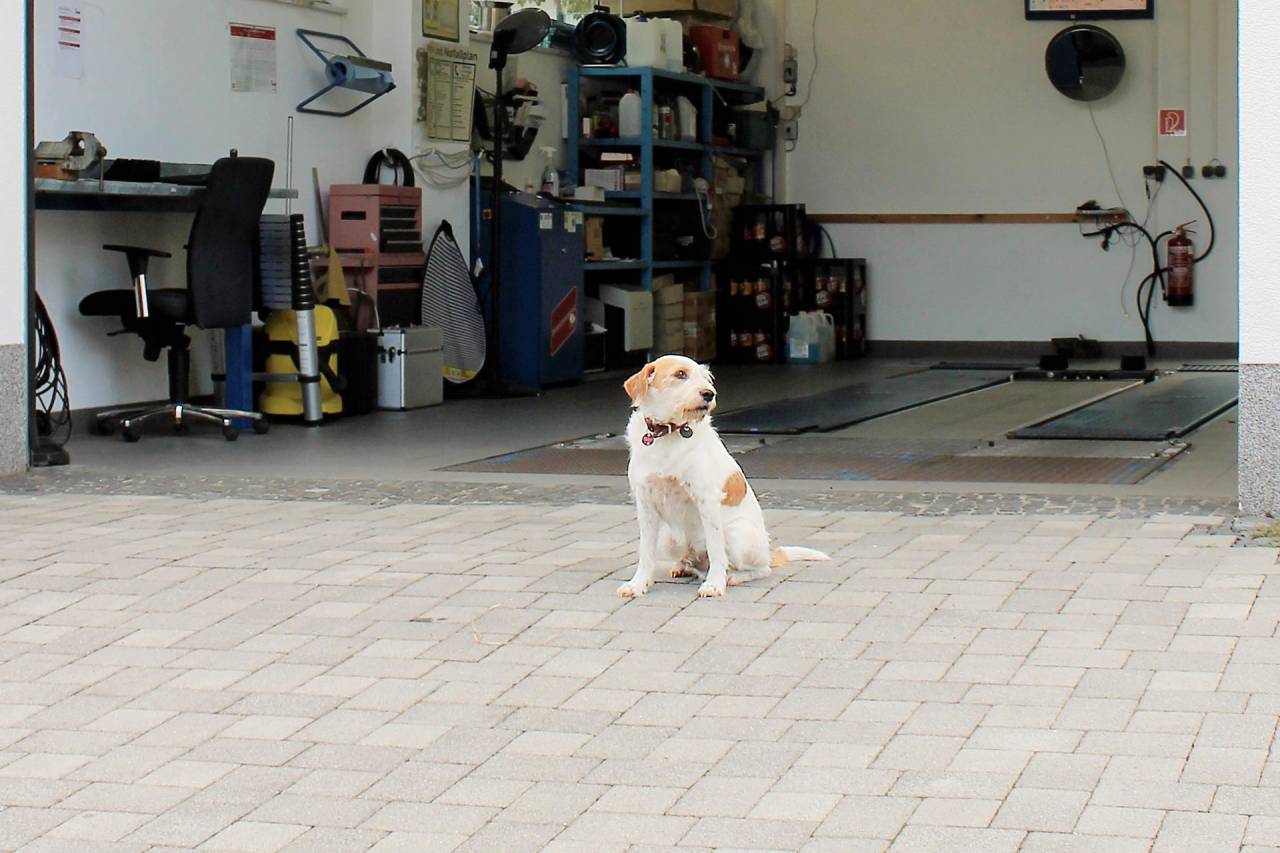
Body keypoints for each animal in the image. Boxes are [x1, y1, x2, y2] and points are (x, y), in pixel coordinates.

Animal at [616, 353, 829, 596]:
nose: (709, 394)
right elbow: (645, 551)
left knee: (759, 569)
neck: (668, 433)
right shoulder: (645, 503)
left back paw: (731, 577)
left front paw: (715, 584)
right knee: (691, 561)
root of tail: (769, 551)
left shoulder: (706, 500)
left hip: (737, 536)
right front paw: (638, 584)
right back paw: (683, 567)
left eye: (705, 377)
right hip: (669, 539)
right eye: (680, 374)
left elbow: (716, 548)